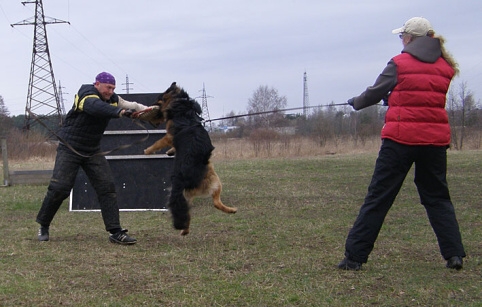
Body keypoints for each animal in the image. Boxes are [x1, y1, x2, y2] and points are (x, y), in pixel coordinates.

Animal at [143, 82, 237, 236]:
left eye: (158, 99)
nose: (149, 106)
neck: (183, 106)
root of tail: (187, 179)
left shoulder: (170, 135)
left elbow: (158, 142)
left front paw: (148, 151)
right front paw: (169, 151)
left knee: (186, 211)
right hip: (215, 182)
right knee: (210, 205)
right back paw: (230, 211)